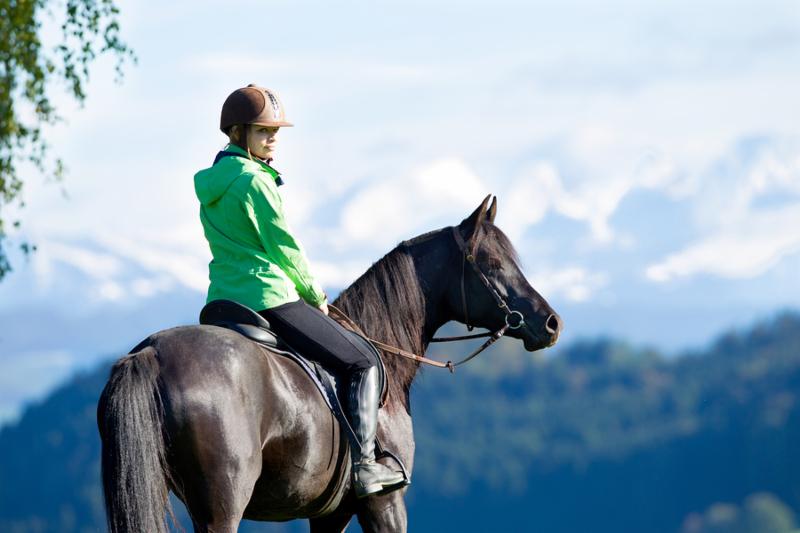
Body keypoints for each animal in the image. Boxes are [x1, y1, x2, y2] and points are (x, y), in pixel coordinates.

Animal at [97, 195, 561, 533]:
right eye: (493, 264)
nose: (550, 322)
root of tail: (151, 353)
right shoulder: (385, 504)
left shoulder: (327, 515)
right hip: (221, 508)